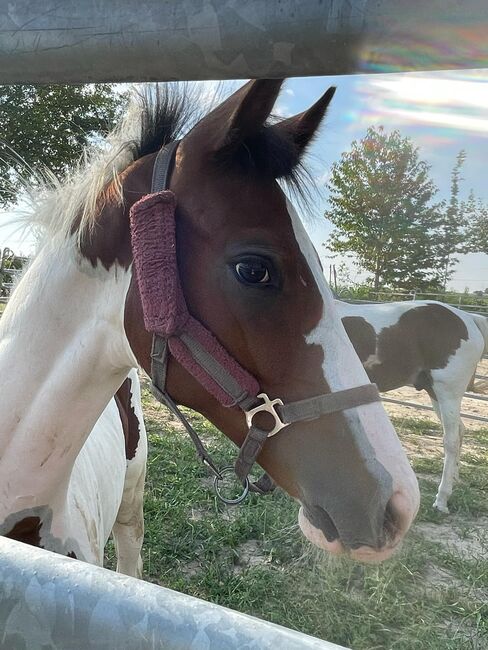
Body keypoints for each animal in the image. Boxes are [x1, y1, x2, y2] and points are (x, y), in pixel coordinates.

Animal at [338, 298, 486, 512]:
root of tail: (469, 318)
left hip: (448, 393)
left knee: (450, 441)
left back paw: (441, 499)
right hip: (435, 394)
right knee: (460, 430)